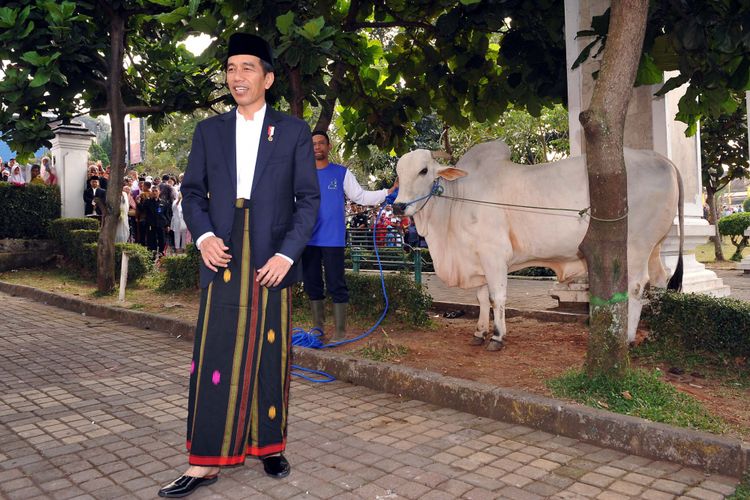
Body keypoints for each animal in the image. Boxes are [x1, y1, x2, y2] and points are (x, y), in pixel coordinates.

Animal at [396, 141, 684, 352]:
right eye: (398, 173)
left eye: (423, 170)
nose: (398, 206)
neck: (458, 199)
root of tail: (662, 160)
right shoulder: (476, 258)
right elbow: (481, 298)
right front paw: (479, 332)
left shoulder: (494, 255)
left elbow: (496, 297)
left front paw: (497, 337)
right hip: (655, 245)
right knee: (661, 277)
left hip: (636, 244)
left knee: (637, 285)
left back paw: (627, 338)